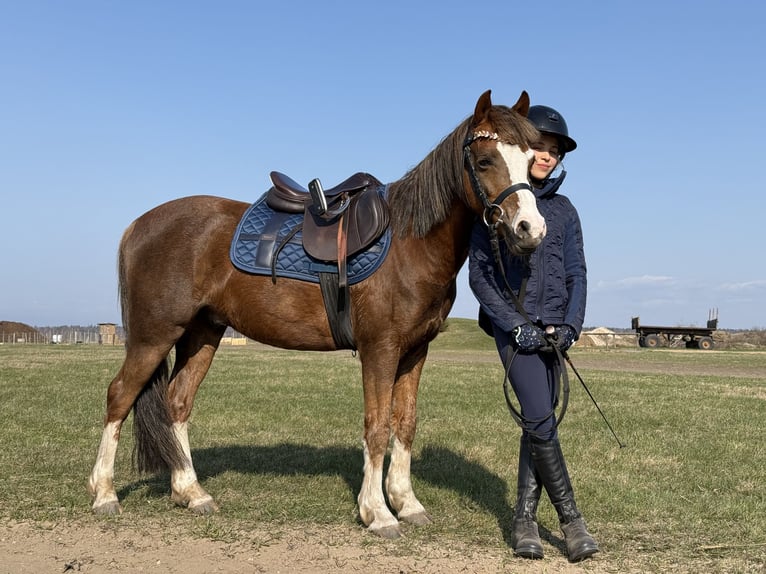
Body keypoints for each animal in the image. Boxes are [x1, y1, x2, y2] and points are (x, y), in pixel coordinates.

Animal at [88, 90, 545, 539]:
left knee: (177, 402)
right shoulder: (380, 348)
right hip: (154, 335)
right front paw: (378, 513)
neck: (409, 244)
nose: (531, 229)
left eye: (531, 162)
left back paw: (191, 492)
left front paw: (407, 503)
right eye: (485, 161)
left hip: (202, 333)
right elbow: (377, 426)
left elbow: (405, 424)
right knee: (120, 395)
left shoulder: (415, 351)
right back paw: (105, 493)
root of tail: (138, 225)